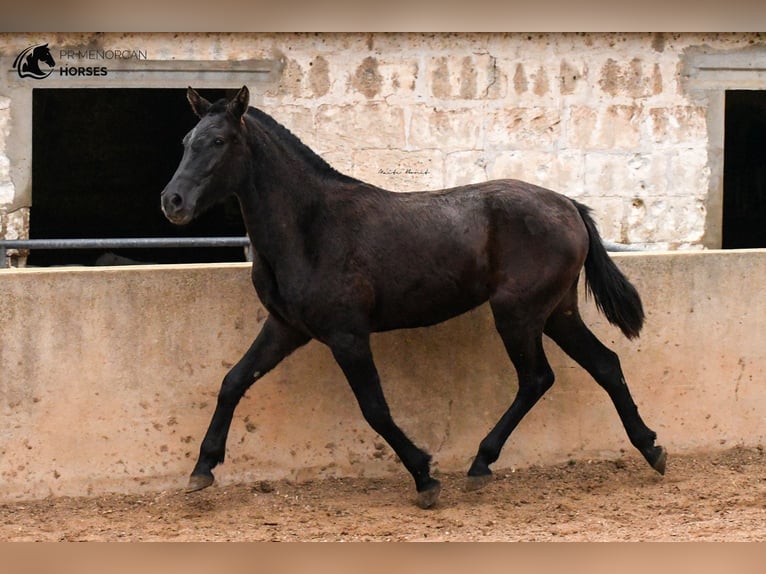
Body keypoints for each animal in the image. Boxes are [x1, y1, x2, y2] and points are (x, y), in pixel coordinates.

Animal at [160, 85, 664, 508]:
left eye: (218, 141)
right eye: (185, 140)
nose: (172, 201)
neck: (310, 228)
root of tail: (569, 206)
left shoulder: (347, 335)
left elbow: (375, 409)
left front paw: (425, 476)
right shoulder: (286, 328)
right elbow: (233, 381)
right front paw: (202, 468)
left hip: (518, 314)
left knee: (537, 378)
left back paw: (481, 464)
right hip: (557, 312)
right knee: (604, 364)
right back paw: (651, 448)